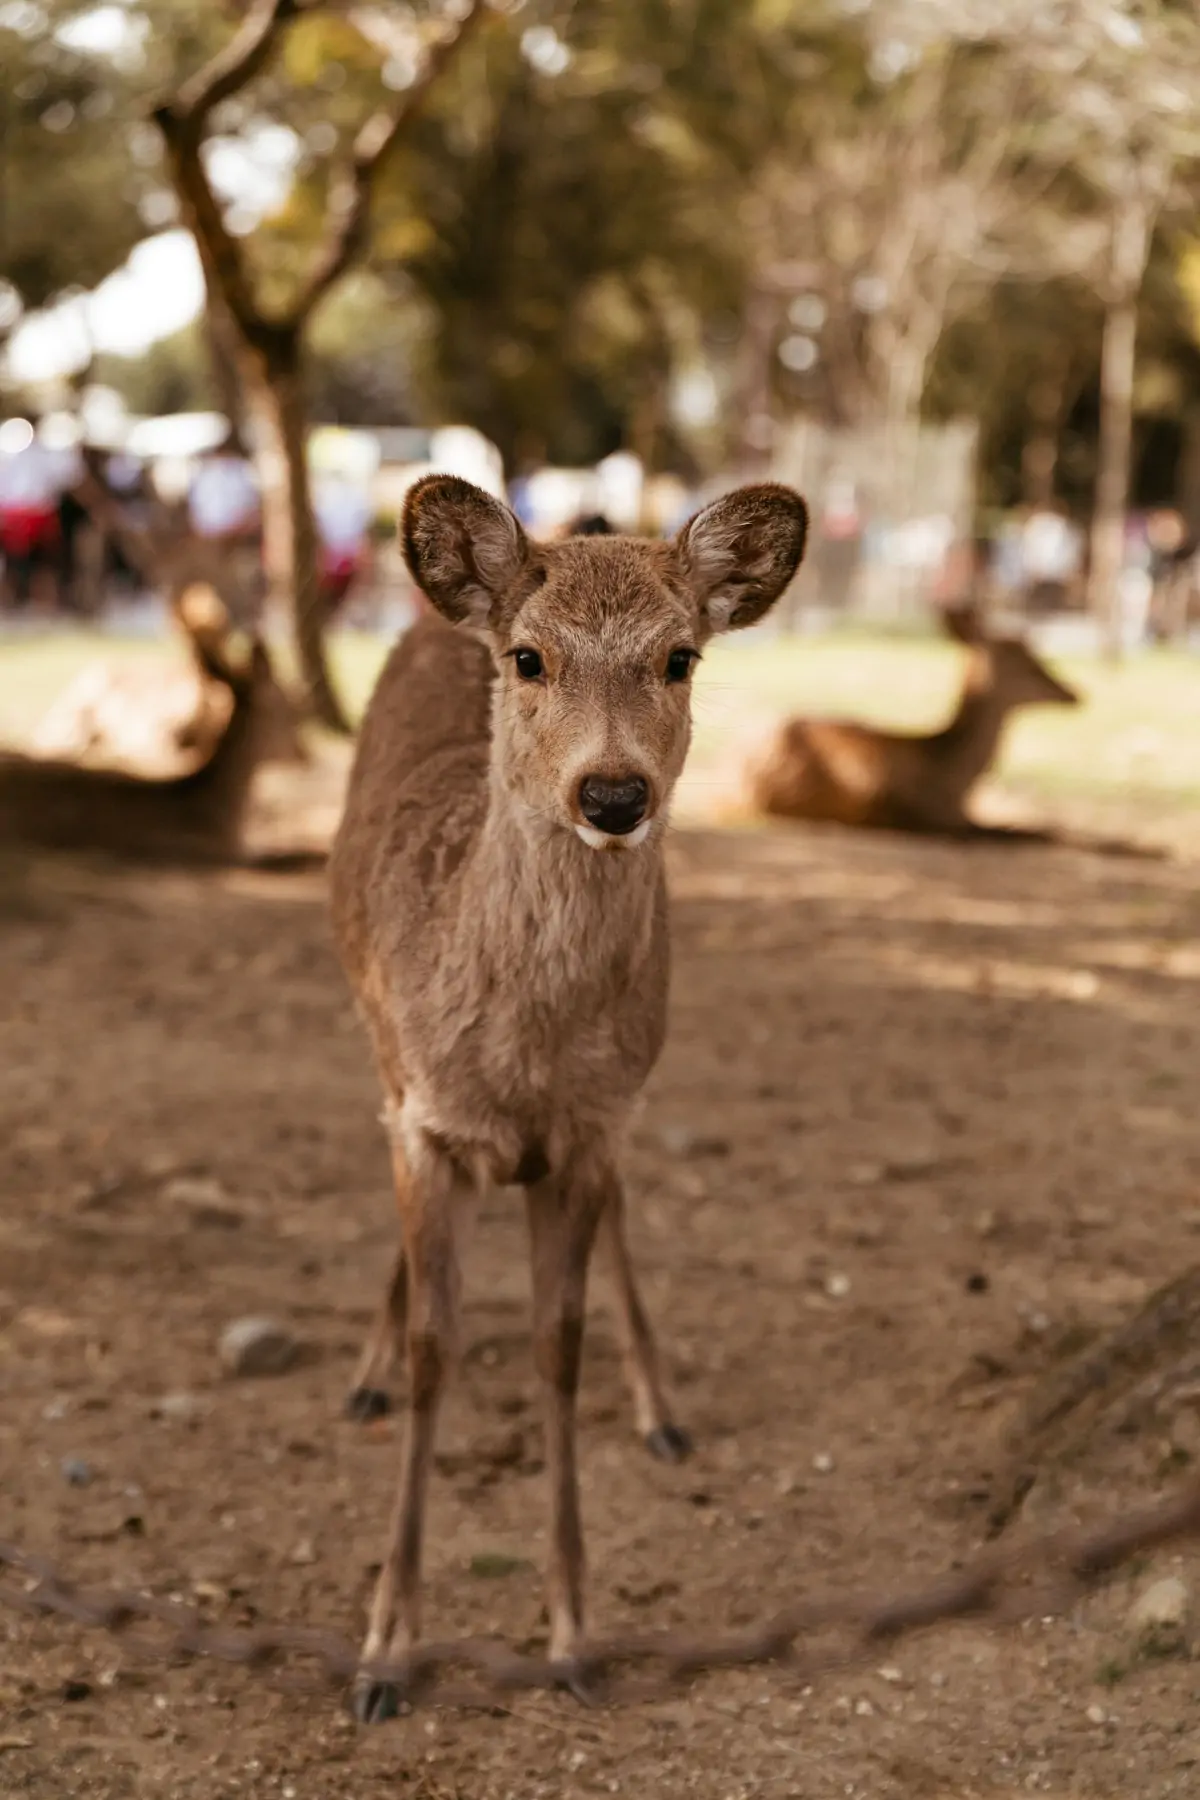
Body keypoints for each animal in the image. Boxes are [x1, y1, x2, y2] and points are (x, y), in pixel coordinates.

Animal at [329, 468, 805, 1713]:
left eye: (681, 657)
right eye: (531, 657)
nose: (613, 792)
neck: (518, 1061)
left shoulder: (594, 1123)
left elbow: (560, 1345)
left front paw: (576, 1636)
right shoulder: (426, 1119)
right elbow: (439, 1347)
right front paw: (383, 1651)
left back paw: (663, 1412)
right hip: (370, 1034)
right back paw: (362, 1375)